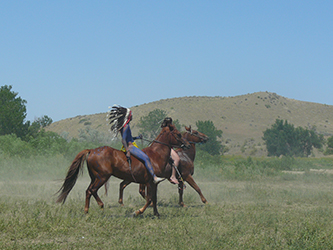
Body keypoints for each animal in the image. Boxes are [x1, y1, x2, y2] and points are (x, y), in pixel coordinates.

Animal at [55, 123, 188, 217]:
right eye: (178, 134)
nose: (186, 144)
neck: (155, 155)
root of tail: (92, 150)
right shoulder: (150, 182)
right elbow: (150, 198)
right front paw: (138, 212)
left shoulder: (154, 183)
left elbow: (154, 199)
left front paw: (156, 214)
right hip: (102, 177)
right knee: (91, 190)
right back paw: (99, 205)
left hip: (95, 178)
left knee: (89, 191)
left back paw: (87, 210)